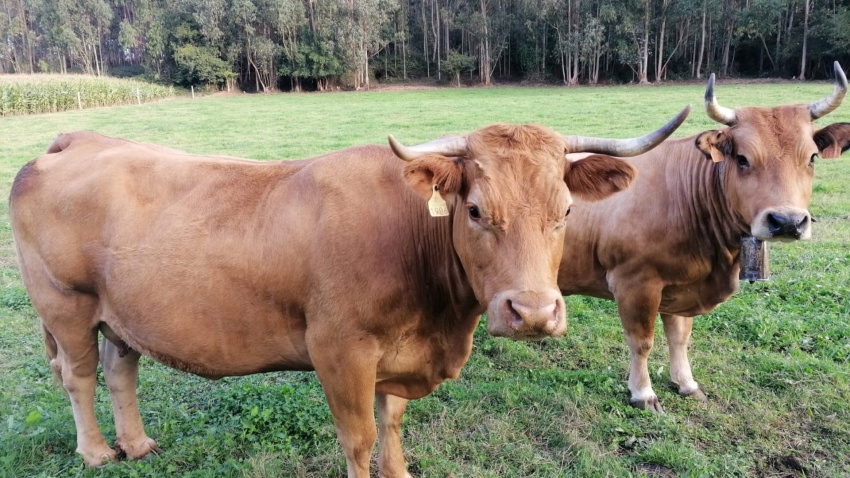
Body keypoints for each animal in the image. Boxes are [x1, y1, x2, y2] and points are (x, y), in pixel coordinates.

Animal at [8, 109, 687, 477]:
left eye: (567, 210)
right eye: (474, 210)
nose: (534, 312)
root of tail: (80, 138)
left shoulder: (396, 356)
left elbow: (393, 422)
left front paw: (401, 468)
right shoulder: (340, 351)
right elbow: (358, 437)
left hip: (121, 313)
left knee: (120, 368)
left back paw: (138, 443)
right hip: (65, 305)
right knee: (79, 377)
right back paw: (98, 452)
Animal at [558, 61, 849, 412]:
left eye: (812, 157)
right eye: (742, 158)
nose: (787, 222)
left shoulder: (678, 284)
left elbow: (680, 337)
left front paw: (686, 383)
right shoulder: (634, 283)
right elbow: (642, 342)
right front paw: (643, 393)